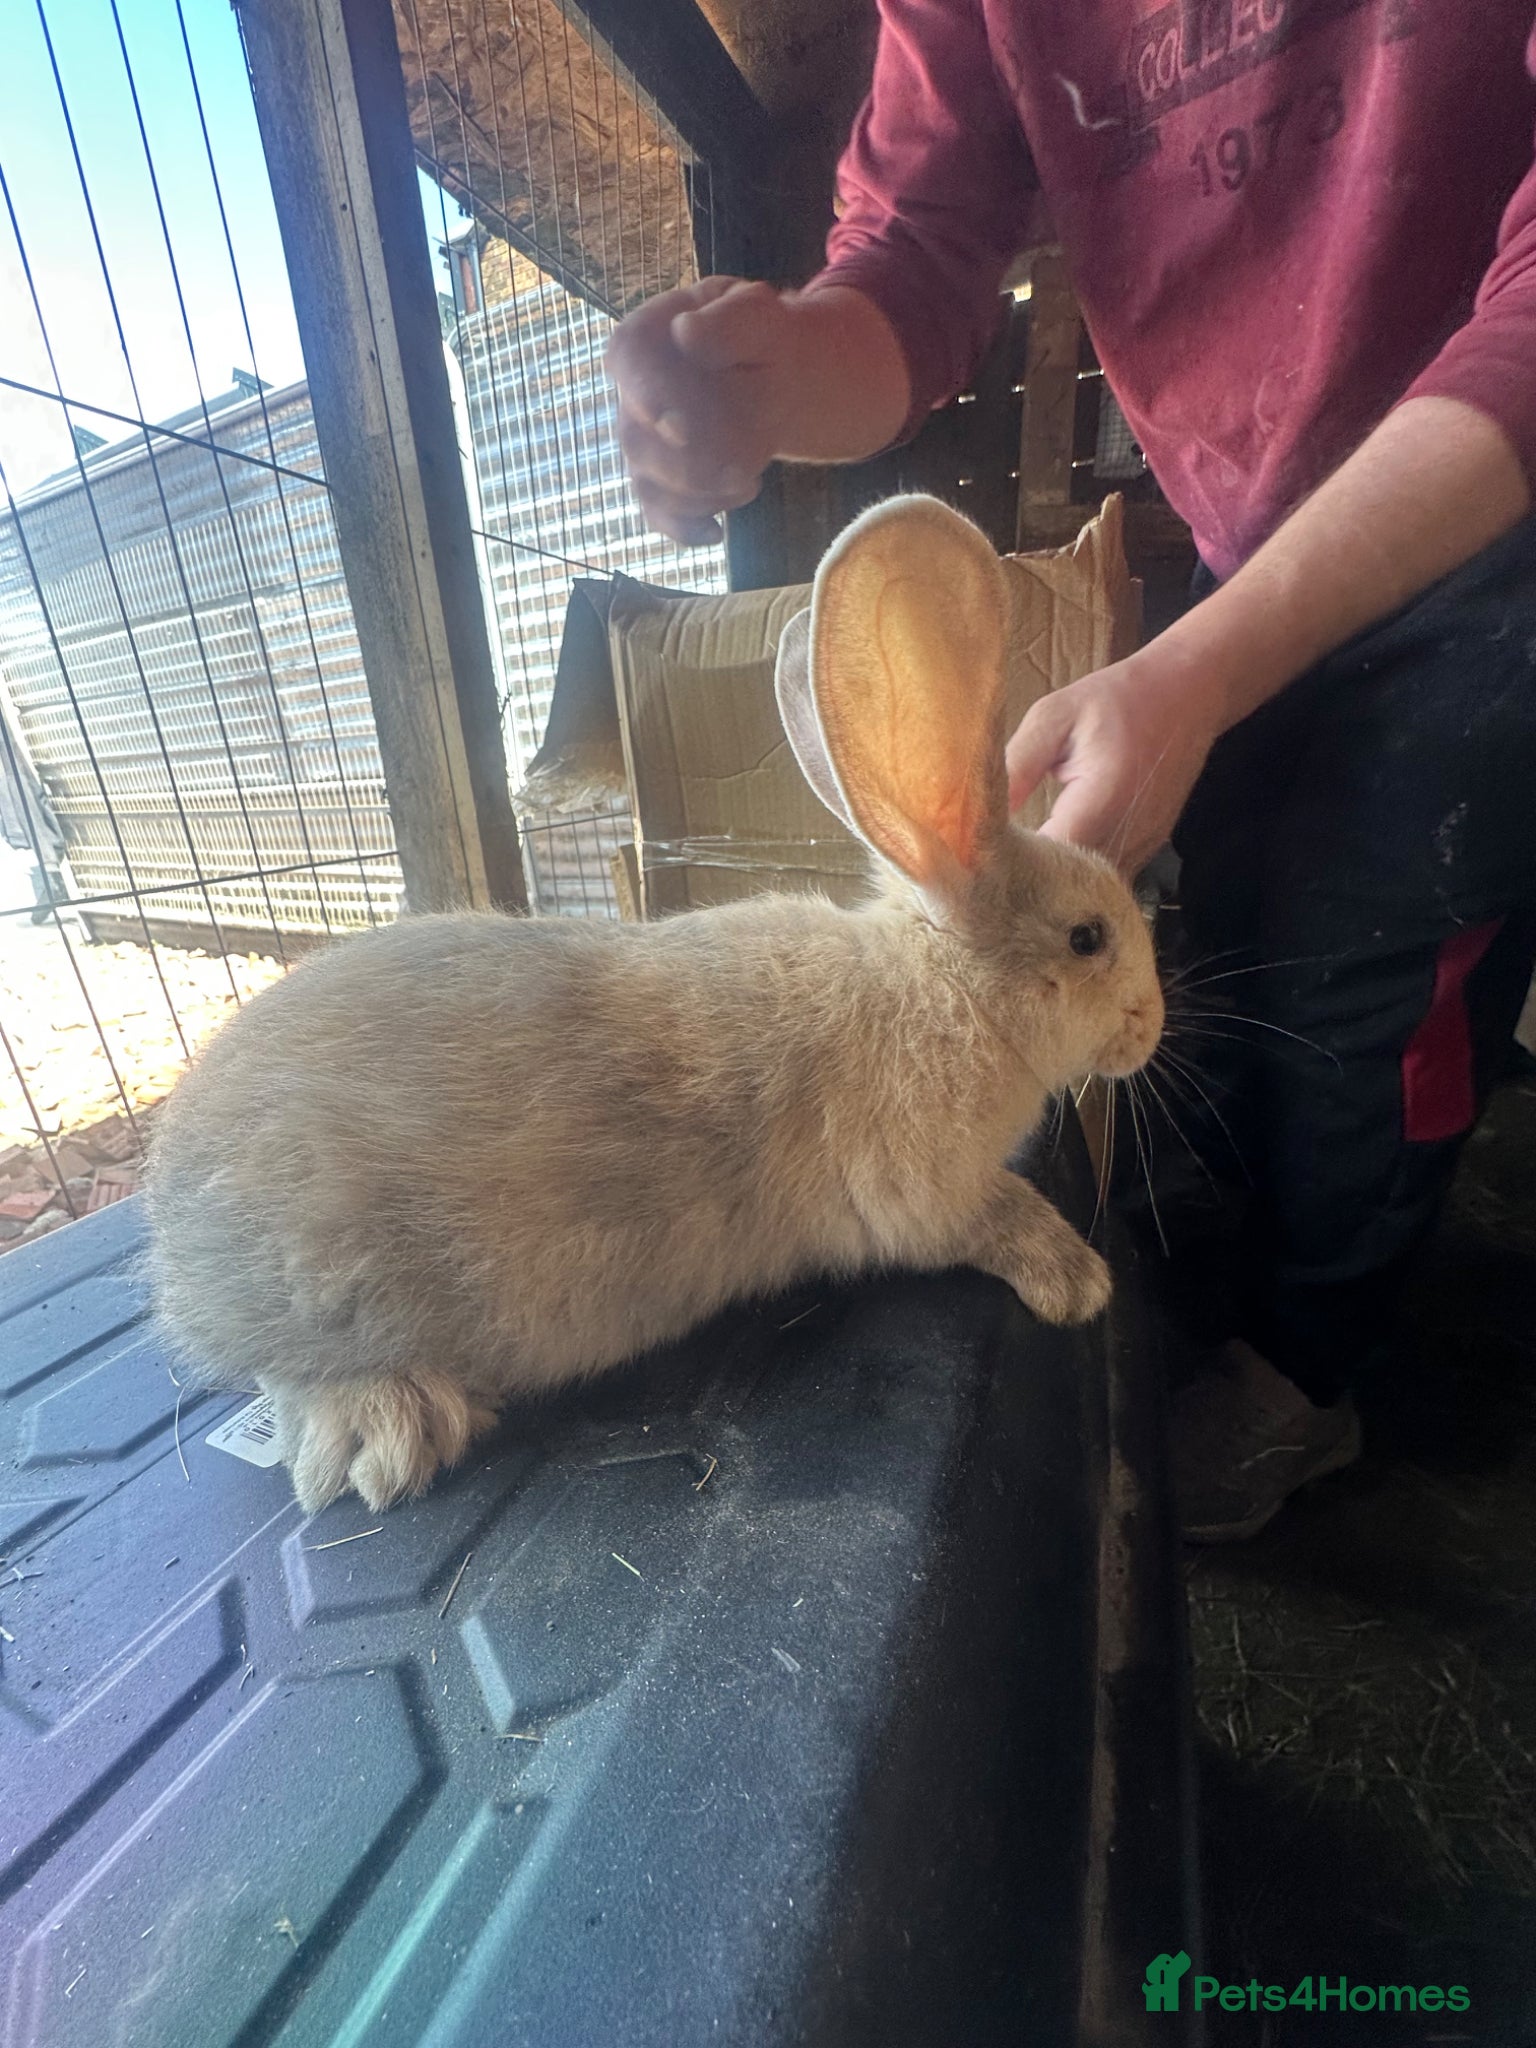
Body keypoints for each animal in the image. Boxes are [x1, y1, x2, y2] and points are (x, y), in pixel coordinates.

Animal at [146, 495, 1164, 1515]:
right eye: (1088, 939)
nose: (1152, 1025)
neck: (940, 984)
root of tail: (169, 1237)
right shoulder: (929, 1193)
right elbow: (1002, 1218)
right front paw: (1079, 1281)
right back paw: (390, 1432)